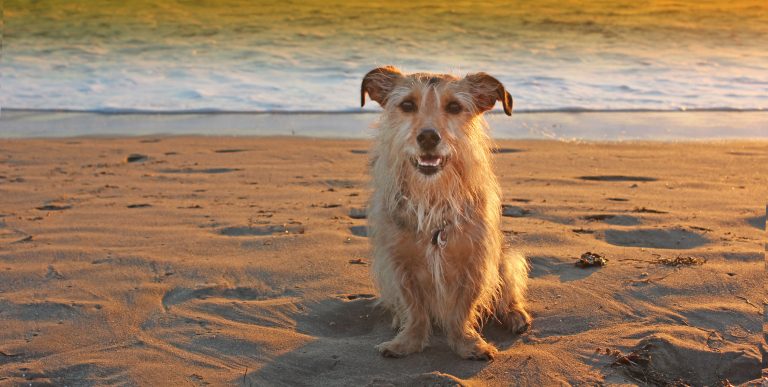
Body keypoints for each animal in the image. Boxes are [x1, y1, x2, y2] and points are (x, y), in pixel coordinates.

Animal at [362, 66, 532, 360]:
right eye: (407, 105)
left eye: (454, 107)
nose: (429, 137)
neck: (432, 197)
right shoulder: (398, 263)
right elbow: (414, 308)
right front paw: (407, 341)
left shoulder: (476, 262)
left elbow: (463, 308)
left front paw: (467, 342)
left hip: (506, 259)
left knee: (507, 293)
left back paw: (515, 314)